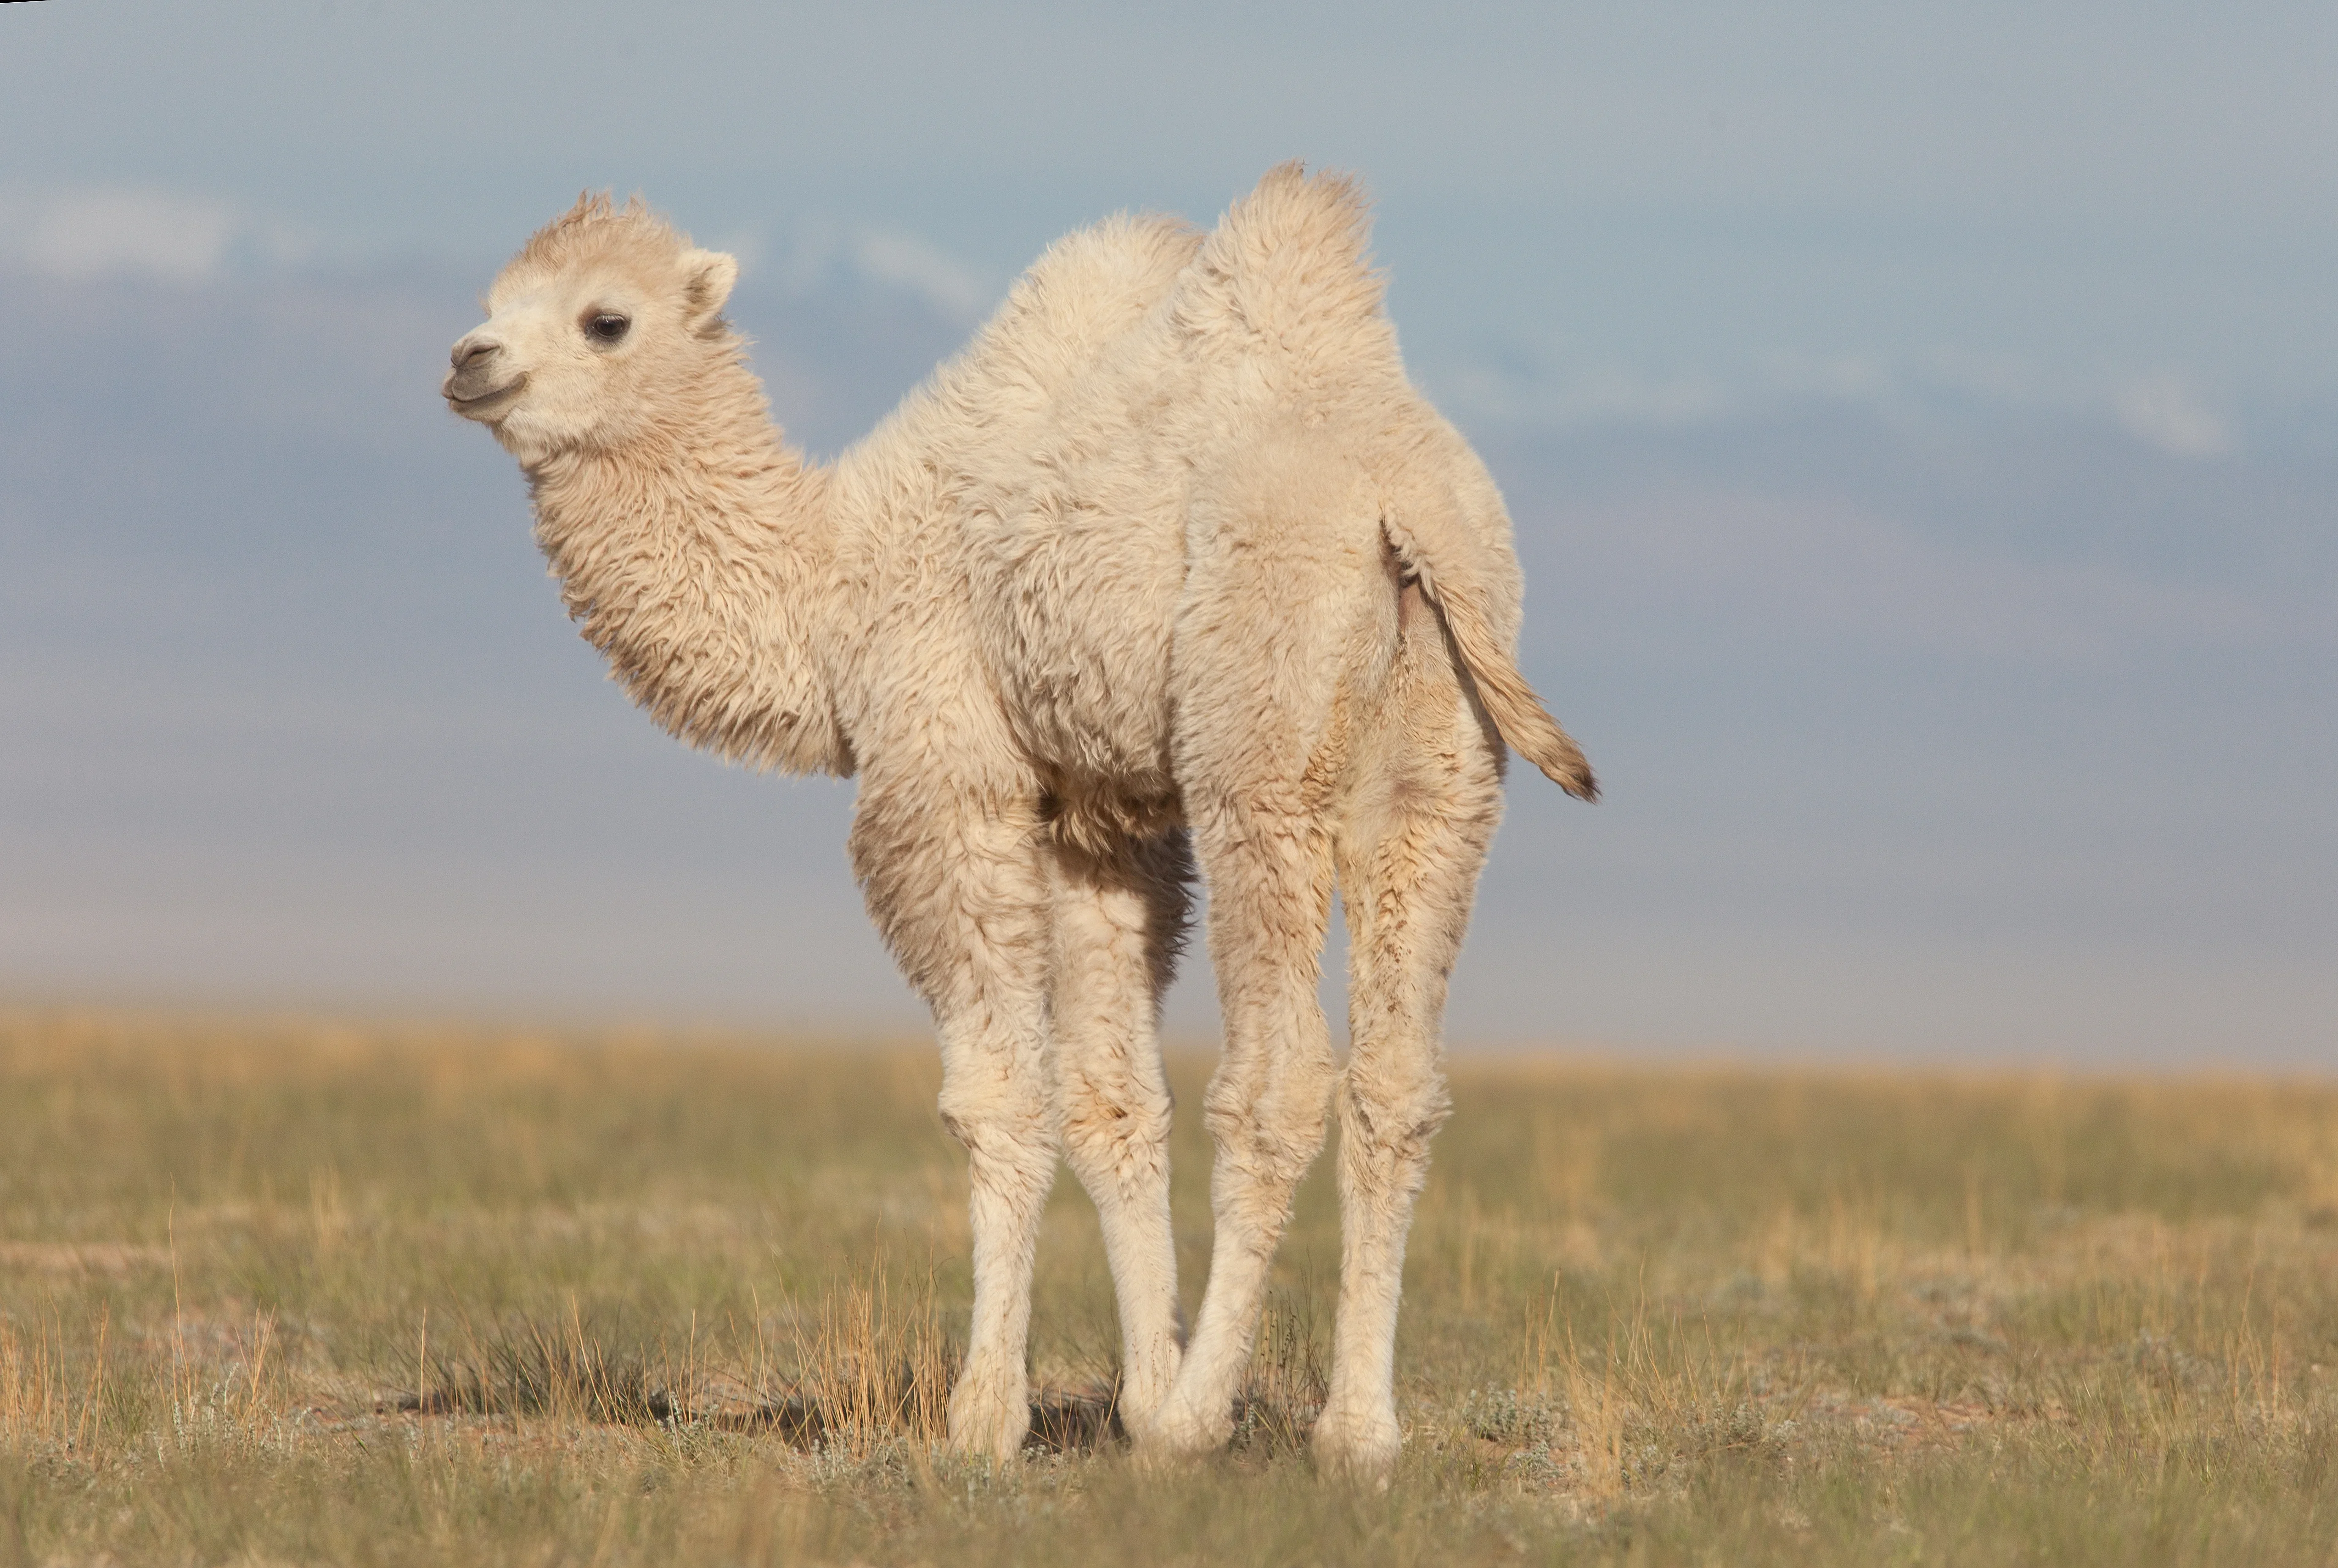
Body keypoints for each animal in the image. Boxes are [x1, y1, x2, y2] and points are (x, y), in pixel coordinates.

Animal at [441, 164, 1595, 1480]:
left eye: (606, 319)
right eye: (495, 297)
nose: (468, 360)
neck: (834, 585)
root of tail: (1406, 504)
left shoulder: (948, 779)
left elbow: (998, 1098)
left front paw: (990, 1415)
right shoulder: (1104, 817)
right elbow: (1111, 1099)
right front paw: (1136, 1389)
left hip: (1257, 741)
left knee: (1282, 1075)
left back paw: (1204, 1419)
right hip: (1442, 766)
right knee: (1398, 1078)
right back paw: (1353, 1434)